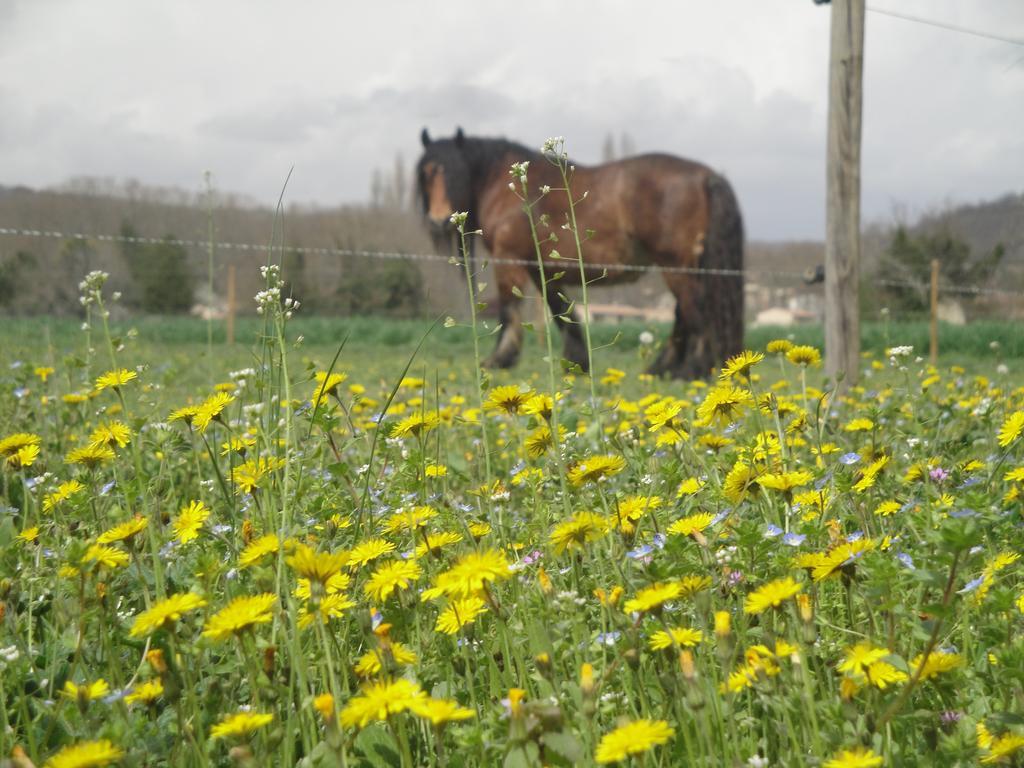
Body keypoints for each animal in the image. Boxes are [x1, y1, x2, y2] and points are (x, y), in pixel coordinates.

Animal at [415, 130, 745, 382]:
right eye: (428, 173)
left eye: (455, 172)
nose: (438, 220)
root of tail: (706, 176)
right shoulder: (542, 268)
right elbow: (561, 311)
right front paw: (577, 361)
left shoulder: (509, 261)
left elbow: (509, 310)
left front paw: (499, 359)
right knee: (684, 315)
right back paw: (662, 368)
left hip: (676, 265)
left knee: (694, 312)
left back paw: (689, 370)